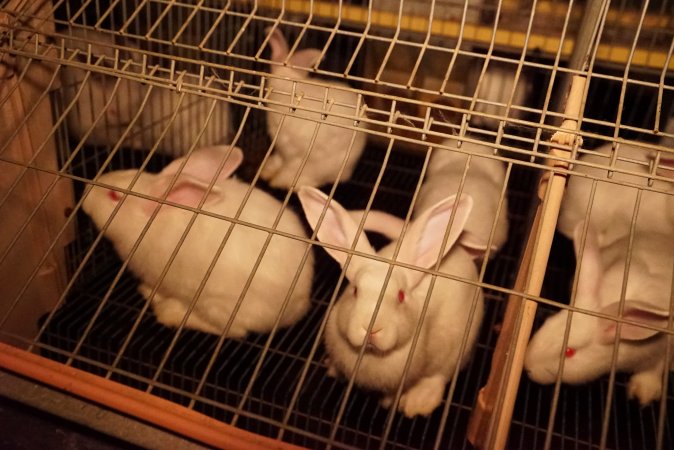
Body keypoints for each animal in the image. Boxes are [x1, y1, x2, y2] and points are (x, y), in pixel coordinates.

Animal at [82, 146, 312, 336]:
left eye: (114, 196)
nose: (85, 193)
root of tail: (299, 306)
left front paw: (148, 292)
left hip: (217, 304)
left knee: (233, 331)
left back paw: (170, 312)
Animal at [296, 186, 480, 418]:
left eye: (401, 296)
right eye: (355, 290)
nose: (371, 328)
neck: (370, 354)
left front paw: (389, 403)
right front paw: (332, 368)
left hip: (457, 351)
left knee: (439, 376)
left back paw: (418, 402)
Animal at [524, 223, 672, 406]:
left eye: (569, 352)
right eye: (547, 321)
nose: (527, 365)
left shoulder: (663, 348)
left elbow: (657, 366)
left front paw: (644, 391)